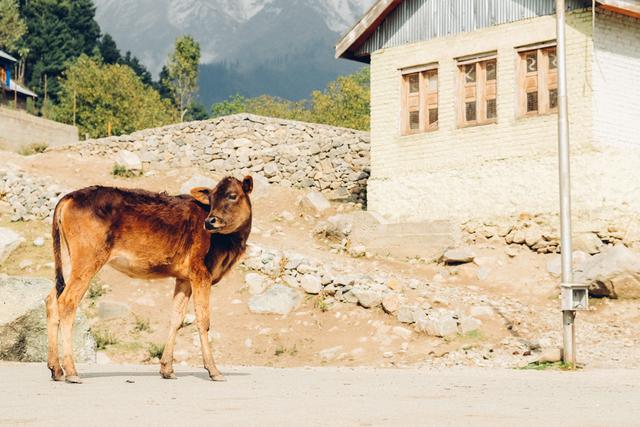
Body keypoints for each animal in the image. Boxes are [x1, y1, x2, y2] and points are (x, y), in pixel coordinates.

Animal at [45, 176, 252, 382]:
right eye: (211, 198)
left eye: (232, 195)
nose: (210, 221)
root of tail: (69, 197)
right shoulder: (200, 273)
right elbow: (203, 320)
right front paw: (214, 371)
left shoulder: (184, 278)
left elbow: (176, 318)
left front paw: (167, 369)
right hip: (87, 260)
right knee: (67, 301)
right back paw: (71, 371)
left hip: (68, 260)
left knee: (52, 299)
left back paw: (56, 369)